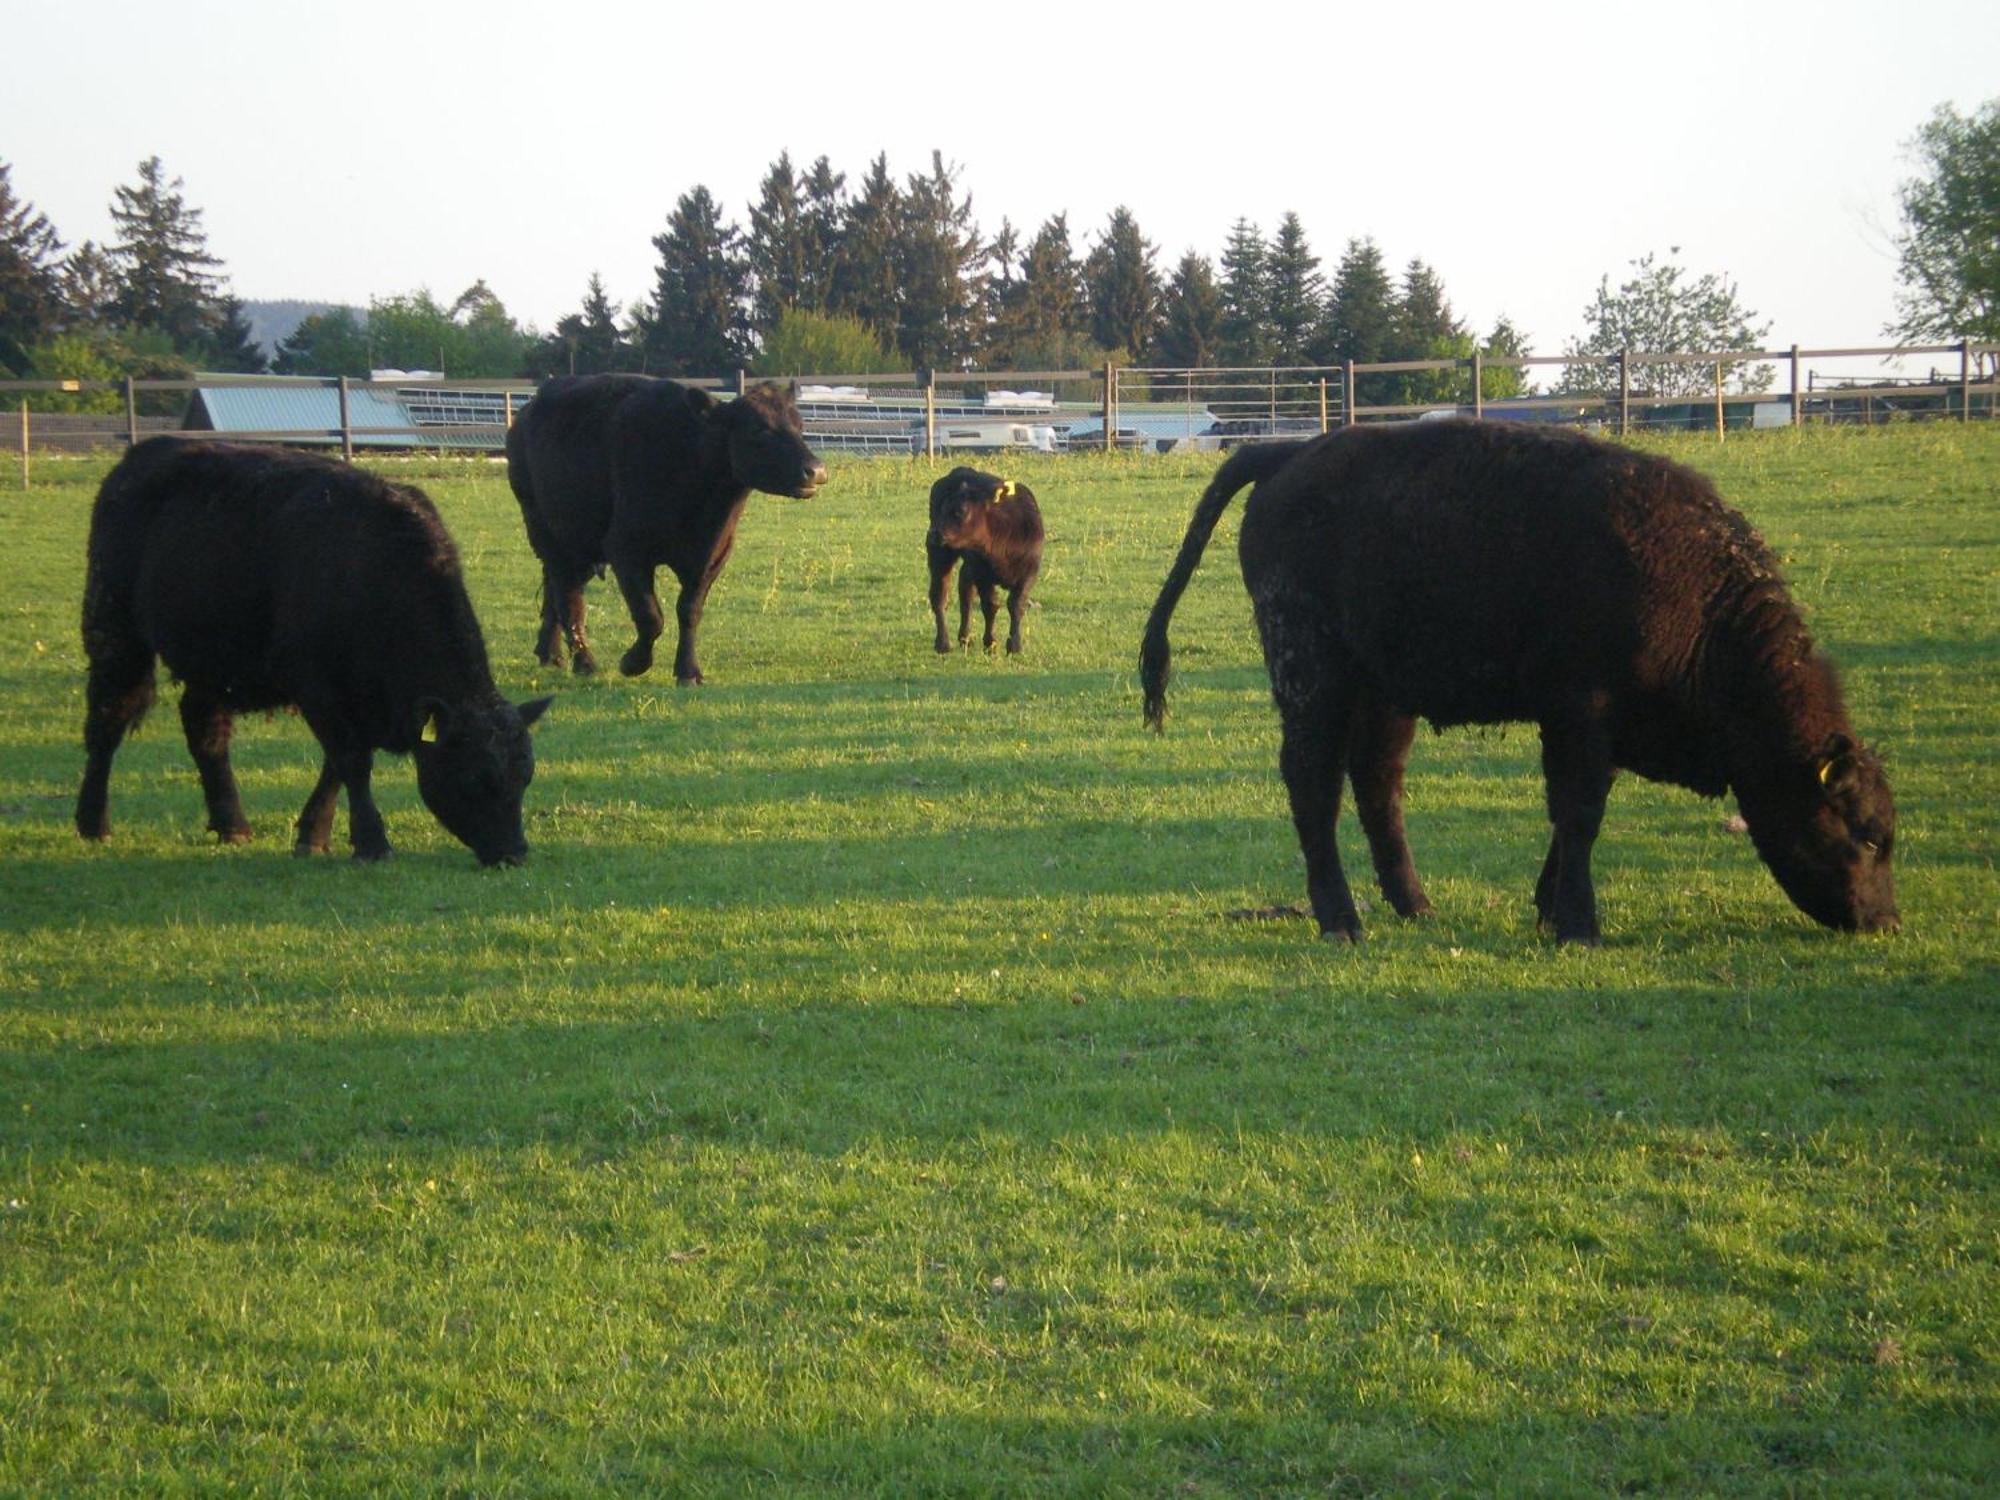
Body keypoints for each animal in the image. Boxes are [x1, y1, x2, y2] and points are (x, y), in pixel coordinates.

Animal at [78, 440, 552, 868]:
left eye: (525, 776)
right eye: (476, 777)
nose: (514, 853)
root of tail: (139, 456)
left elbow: (335, 769)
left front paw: (314, 834)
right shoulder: (317, 688)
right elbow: (351, 762)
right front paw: (371, 843)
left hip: (213, 664)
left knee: (204, 730)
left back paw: (232, 824)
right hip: (115, 632)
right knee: (108, 720)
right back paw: (93, 822)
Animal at [516, 374, 836, 684]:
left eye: (800, 427)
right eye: (760, 430)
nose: (816, 470)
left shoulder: (713, 556)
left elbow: (689, 610)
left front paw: (688, 670)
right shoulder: (625, 550)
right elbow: (650, 616)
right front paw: (633, 662)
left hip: (579, 543)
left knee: (557, 590)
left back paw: (550, 653)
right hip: (546, 534)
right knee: (568, 596)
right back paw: (583, 662)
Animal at [924, 468, 1048, 656]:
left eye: (961, 511)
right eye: (943, 508)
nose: (933, 534)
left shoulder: (1030, 570)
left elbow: (1016, 604)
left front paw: (1015, 645)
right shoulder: (981, 572)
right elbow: (990, 606)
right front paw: (990, 644)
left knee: (965, 590)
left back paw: (965, 638)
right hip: (941, 554)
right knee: (940, 594)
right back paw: (943, 643)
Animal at [1152, 418, 1896, 944]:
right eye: (1863, 834)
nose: (1884, 921)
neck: (1693, 594)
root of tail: (1289, 453)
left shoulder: (1596, 731)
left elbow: (1570, 818)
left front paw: (1547, 908)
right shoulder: (1581, 713)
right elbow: (1580, 814)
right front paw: (1578, 926)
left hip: (1386, 692)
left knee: (1377, 784)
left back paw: (1415, 904)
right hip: (1313, 676)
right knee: (1314, 782)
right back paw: (1341, 920)